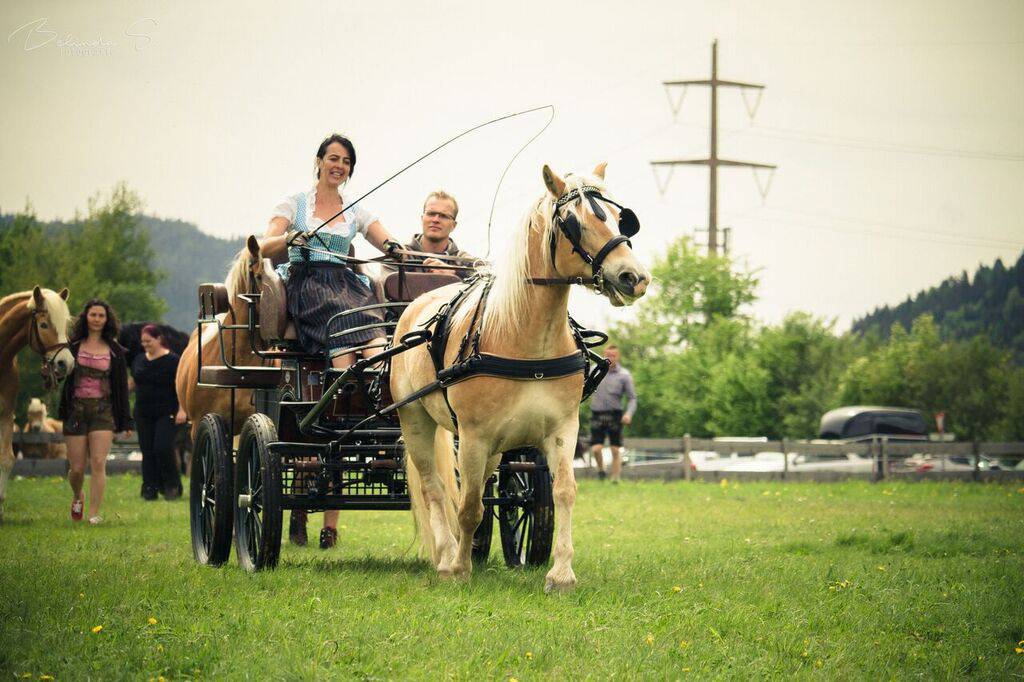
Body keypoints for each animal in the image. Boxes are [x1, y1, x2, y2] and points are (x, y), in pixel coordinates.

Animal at [391, 164, 647, 589]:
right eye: (574, 223)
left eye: (619, 216)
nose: (634, 277)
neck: (530, 342)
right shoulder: (473, 435)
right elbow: (468, 505)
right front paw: (460, 569)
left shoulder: (563, 428)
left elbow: (563, 491)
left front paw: (561, 573)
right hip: (416, 420)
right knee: (435, 488)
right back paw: (447, 557)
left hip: (495, 446)